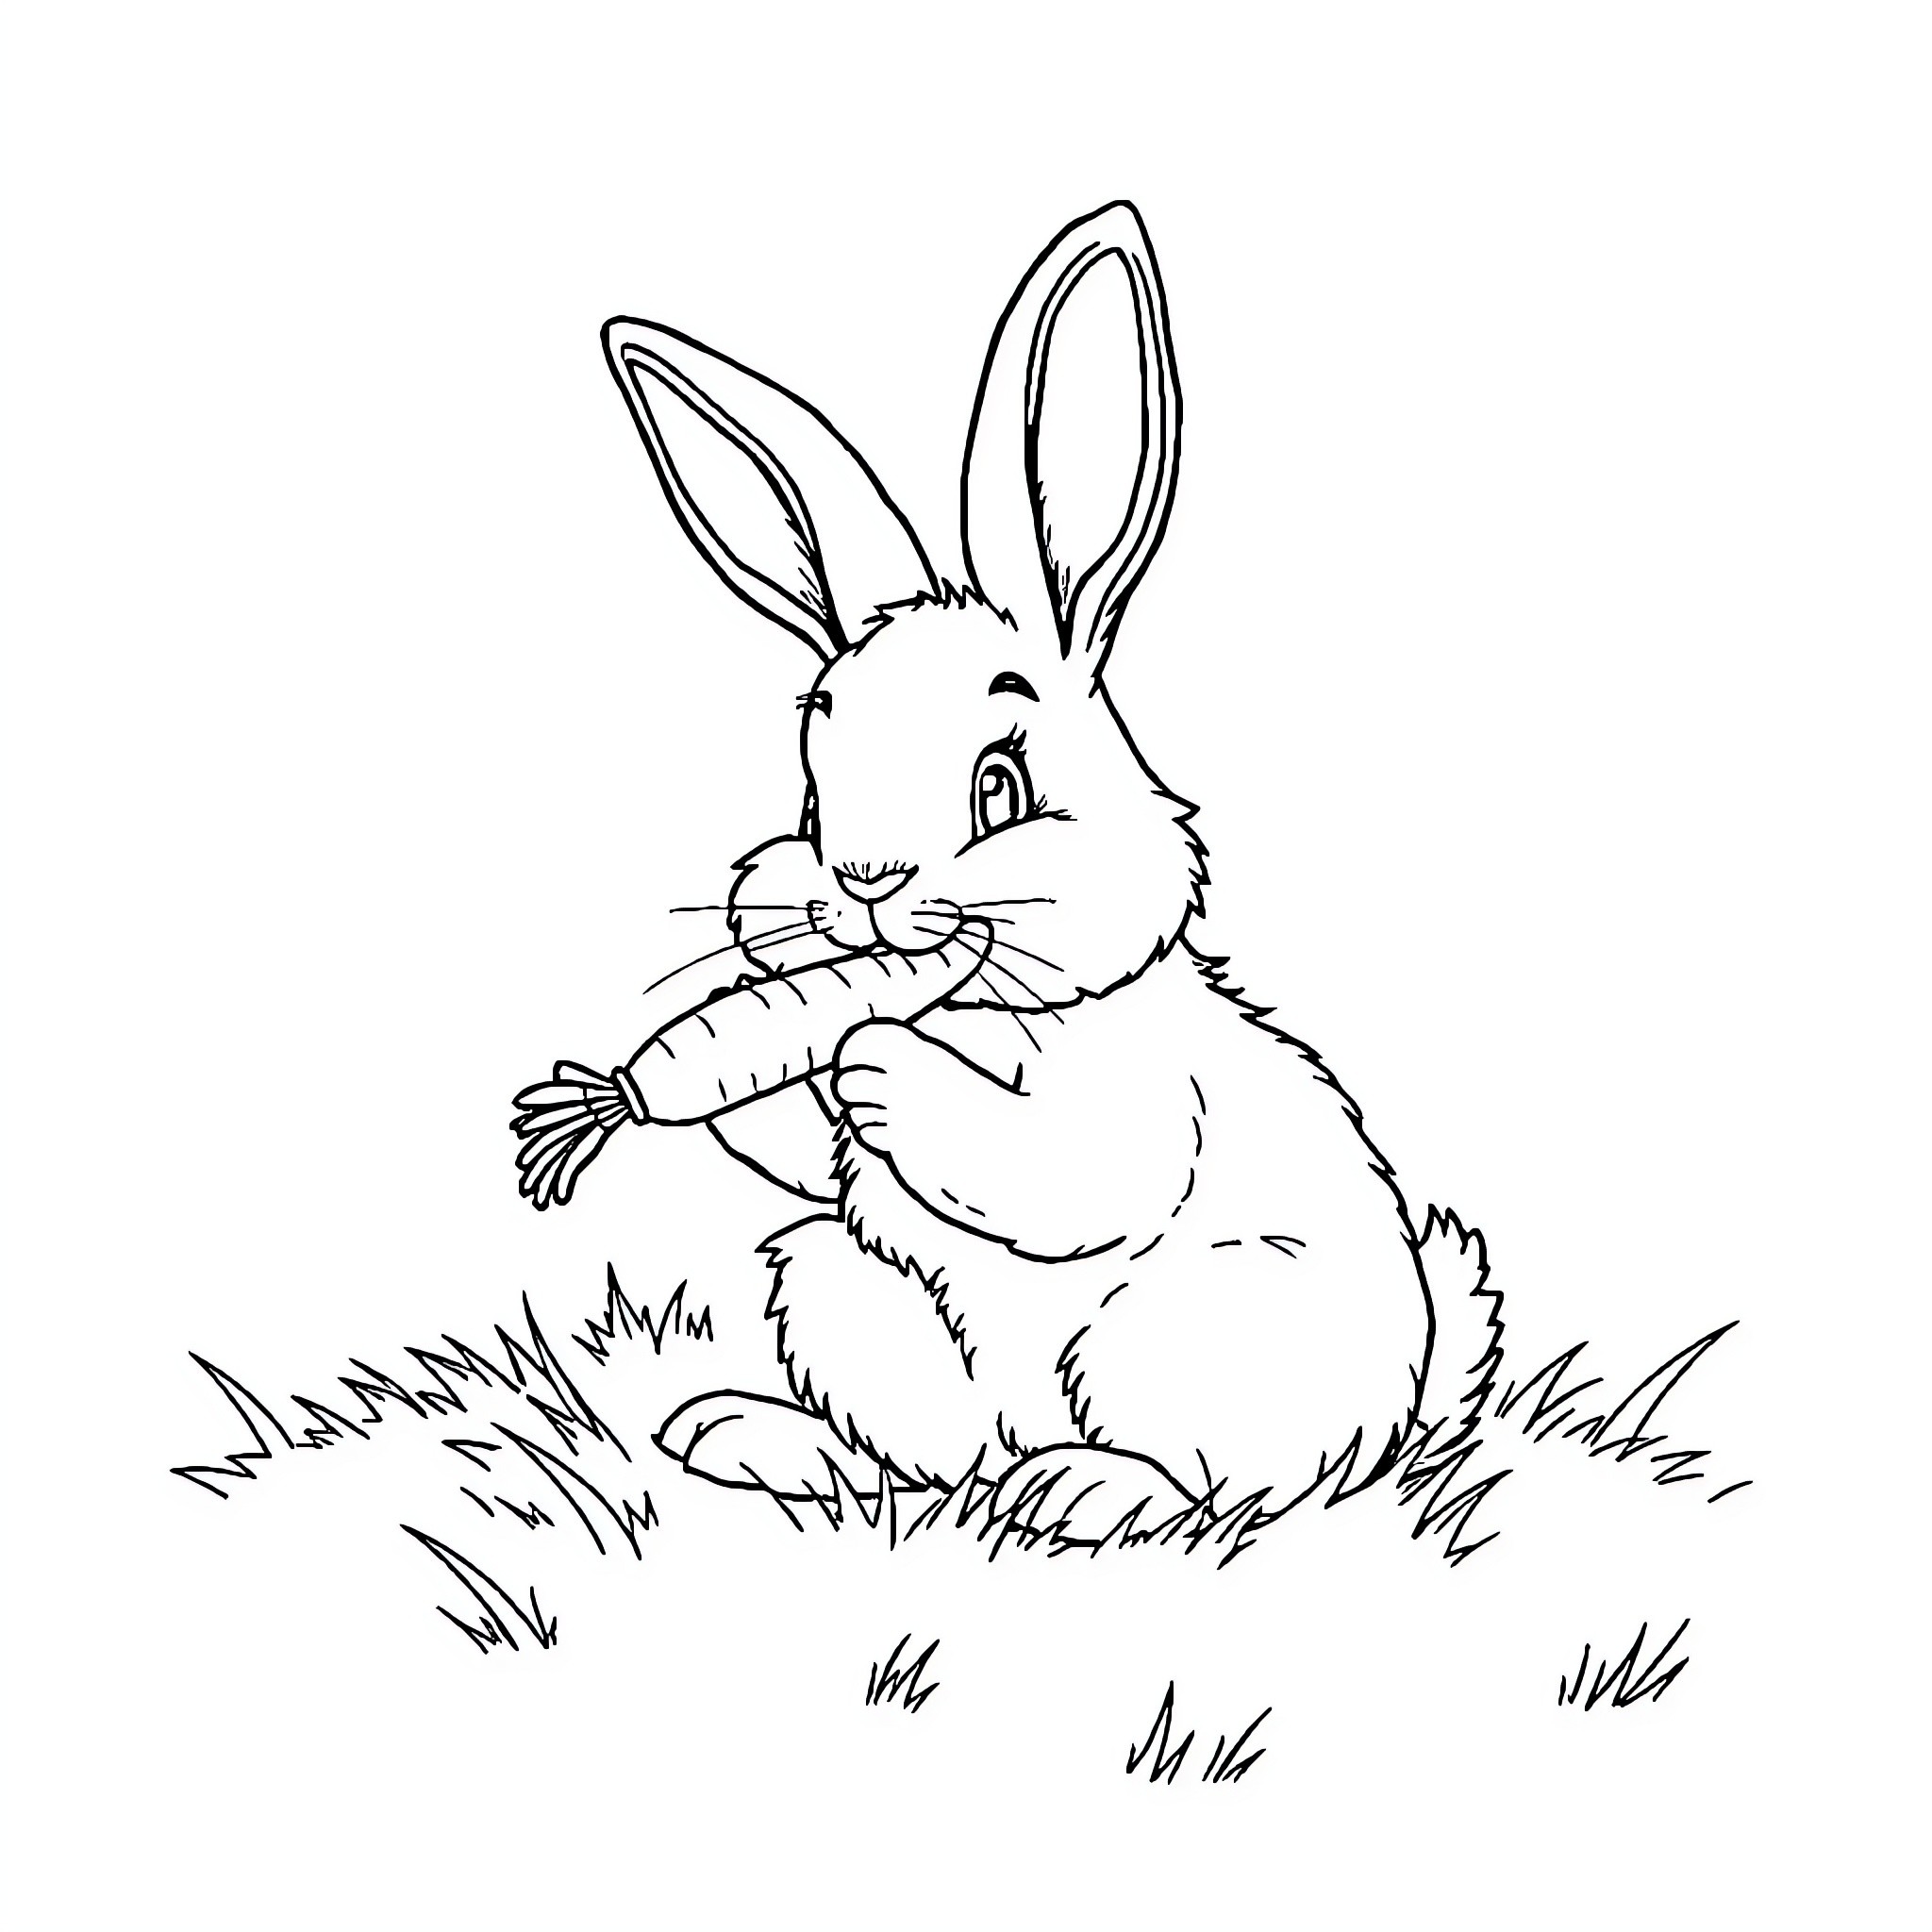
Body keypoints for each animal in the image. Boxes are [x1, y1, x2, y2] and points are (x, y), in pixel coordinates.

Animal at [599, 202, 1453, 1539]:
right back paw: (757, 1439)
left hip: (1179, 1334)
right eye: (814, 792)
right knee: (922, 1452)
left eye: (998, 784)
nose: (862, 880)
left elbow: (1064, 1171)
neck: (964, 1005)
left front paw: (871, 1060)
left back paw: (1082, 1486)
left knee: (1219, 1482)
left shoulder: (1140, 1104)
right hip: (838, 1286)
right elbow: (790, 1129)